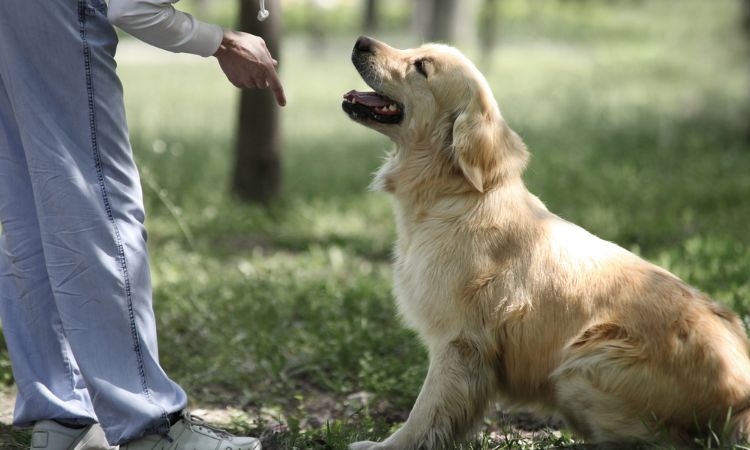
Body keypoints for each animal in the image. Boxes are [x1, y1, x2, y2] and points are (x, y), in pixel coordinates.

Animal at [344, 37, 750, 448]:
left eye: (421, 67)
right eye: (416, 49)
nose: (361, 41)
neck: (455, 194)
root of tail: (741, 400)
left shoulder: (459, 342)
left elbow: (426, 413)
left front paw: (385, 445)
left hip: (581, 367)